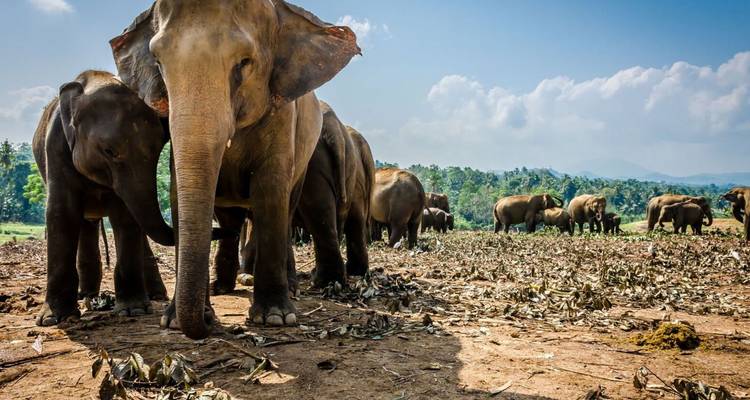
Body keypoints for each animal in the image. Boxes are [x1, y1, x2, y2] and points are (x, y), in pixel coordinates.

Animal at [31, 70, 174, 326]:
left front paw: (133, 310)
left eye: (159, 149)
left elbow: (124, 216)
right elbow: (61, 213)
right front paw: (53, 319)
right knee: (86, 224)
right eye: (109, 151)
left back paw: (154, 296)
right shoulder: (56, 147)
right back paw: (86, 295)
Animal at [111, 1, 359, 338]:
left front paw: (275, 318)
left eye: (244, 62)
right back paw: (222, 286)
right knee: (231, 219)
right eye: (159, 63)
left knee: (287, 208)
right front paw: (173, 320)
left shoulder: (283, 115)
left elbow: (270, 191)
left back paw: (289, 289)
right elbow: (178, 193)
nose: (208, 324)